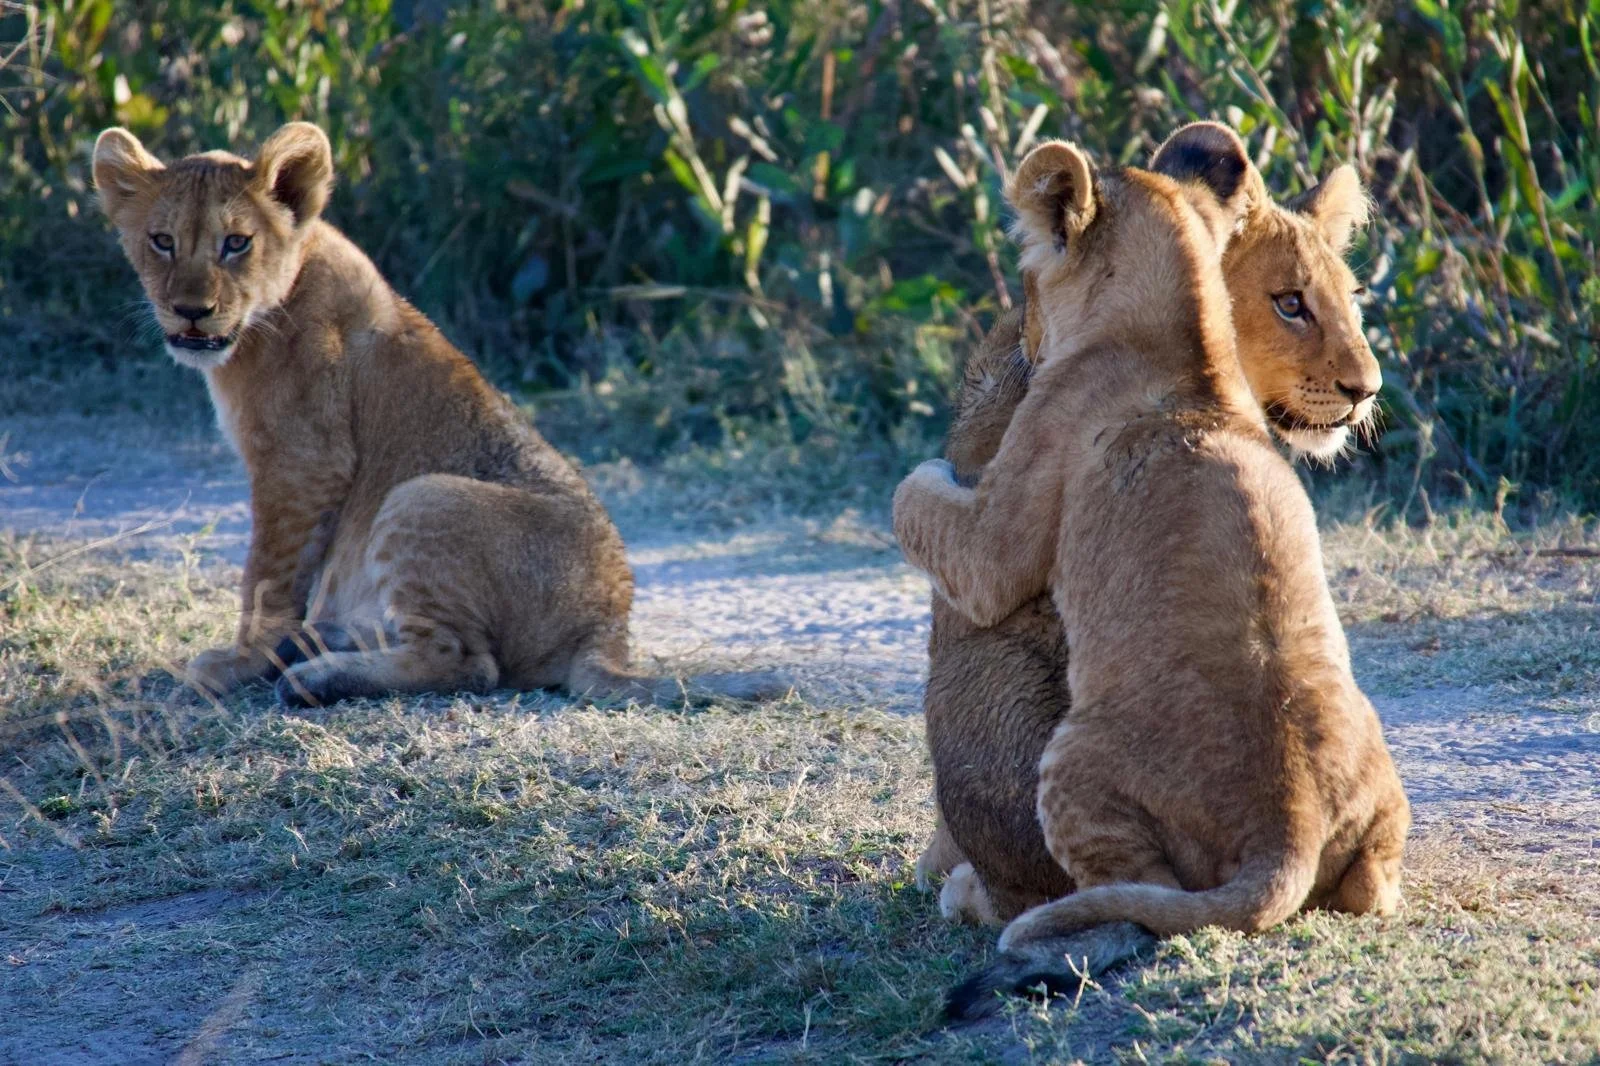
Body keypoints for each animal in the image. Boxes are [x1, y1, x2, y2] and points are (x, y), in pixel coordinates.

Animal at [93, 122, 783, 708]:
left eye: (236, 243)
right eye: (162, 242)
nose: (191, 312)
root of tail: (608, 631)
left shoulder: (302, 462)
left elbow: (268, 573)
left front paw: (243, 660)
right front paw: (266, 650)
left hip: (422, 495)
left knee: (468, 663)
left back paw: (313, 675)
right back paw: (318, 643)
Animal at [891, 125, 1410, 1018]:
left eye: (1346, 300)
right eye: (1291, 302)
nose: (1366, 390)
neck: (1184, 338)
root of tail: (1287, 836)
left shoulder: (995, 543)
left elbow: (912, 497)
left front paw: (927, 469)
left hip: (1067, 764)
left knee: (1132, 901)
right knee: (1366, 888)